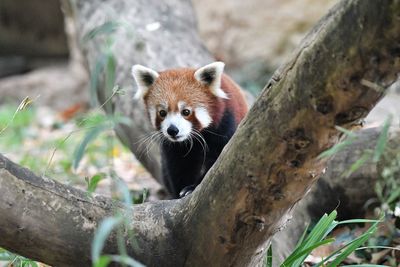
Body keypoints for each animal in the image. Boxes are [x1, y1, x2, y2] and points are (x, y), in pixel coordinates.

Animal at [133, 61, 248, 199]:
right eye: (162, 113)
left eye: (186, 112)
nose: (172, 130)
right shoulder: (173, 147)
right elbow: (179, 166)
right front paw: (180, 191)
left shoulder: (225, 125)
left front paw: (192, 188)